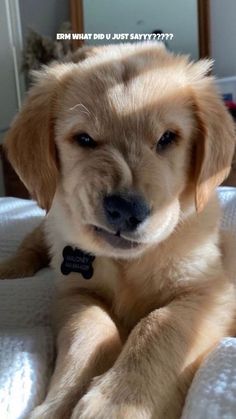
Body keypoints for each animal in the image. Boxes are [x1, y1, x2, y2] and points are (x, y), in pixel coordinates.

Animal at [0, 43, 236, 419]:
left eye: (167, 138)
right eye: (84, 139)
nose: (125, 209)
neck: (128, 263)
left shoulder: (209, 292)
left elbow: (159, 324)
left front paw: (117, 402)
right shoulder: (73, 292)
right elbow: (91, 328)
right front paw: (62, 402)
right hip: (46, 225)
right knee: (30, 246)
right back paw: (8, 270)